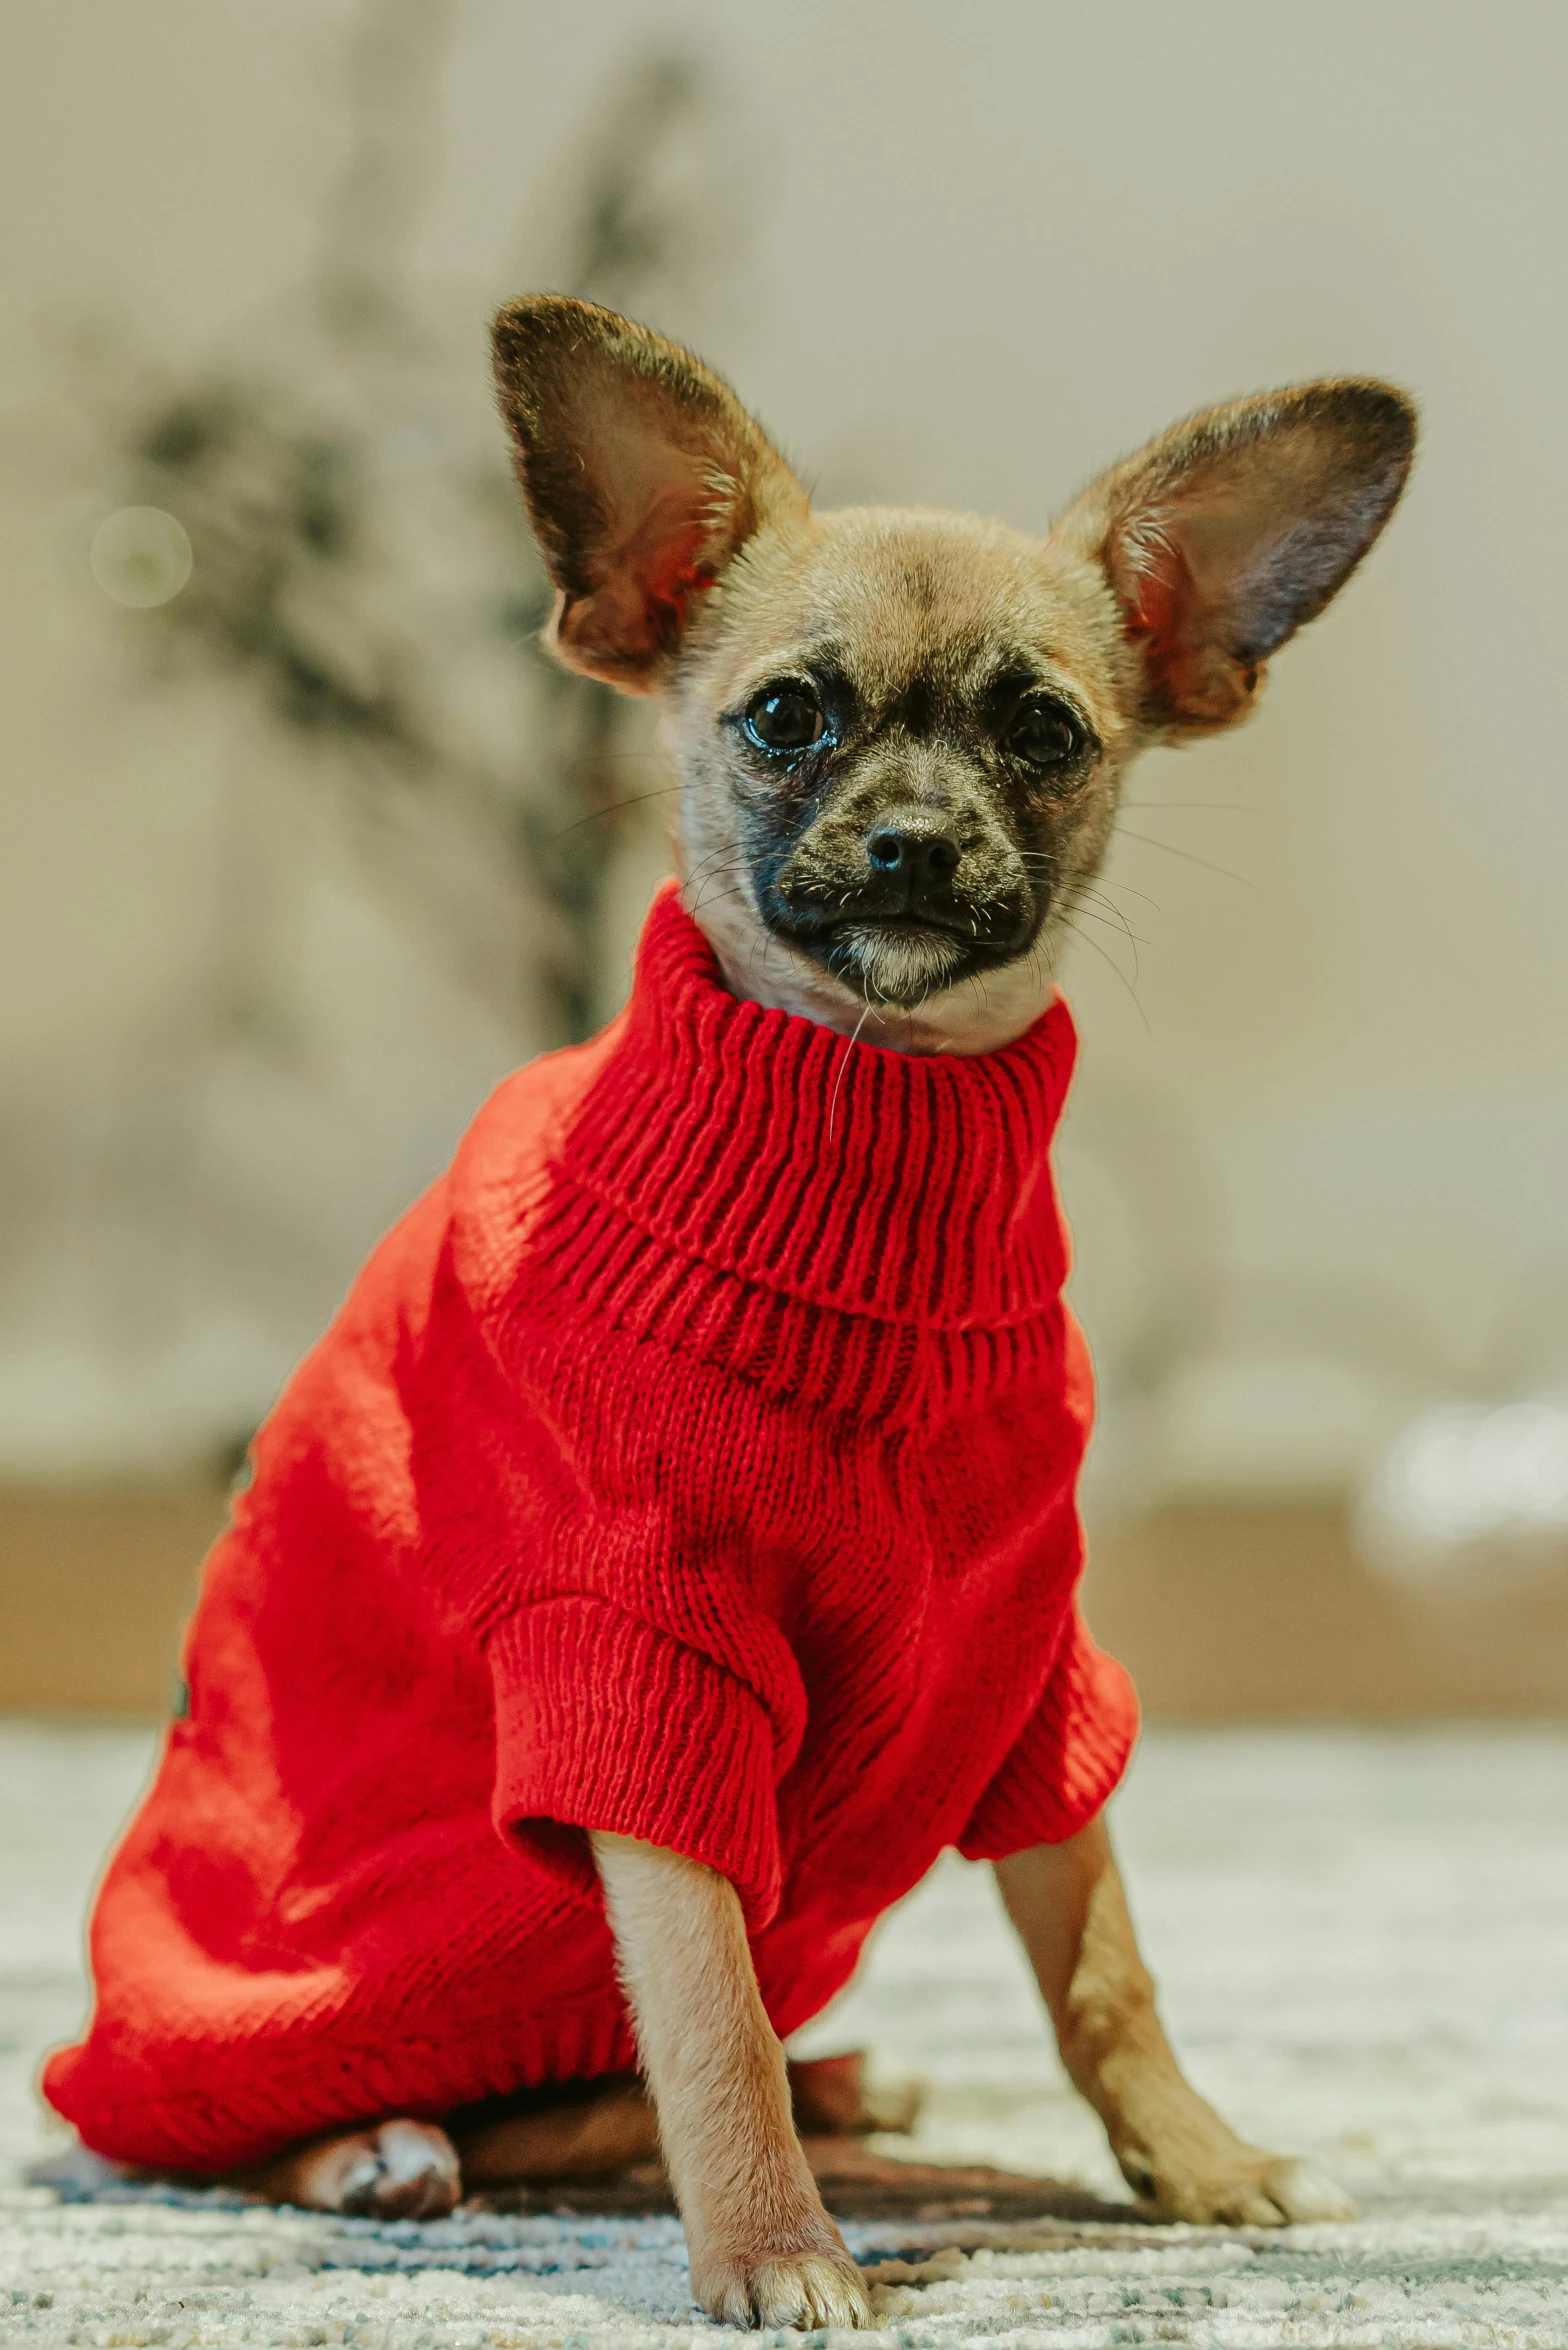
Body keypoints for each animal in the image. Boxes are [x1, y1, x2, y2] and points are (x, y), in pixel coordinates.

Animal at [49, 298, 1419, 2331]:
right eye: (785, 718)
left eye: (1044, 732)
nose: (913, 842)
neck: (872, 1136)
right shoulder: (642, 1663)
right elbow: (710, 2016)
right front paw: (776, 2244)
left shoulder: (1028, 1660)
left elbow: (1097, 1952)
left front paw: (1201, 2159)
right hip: (250, 2061)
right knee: (224, 2136)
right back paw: (383, 2150)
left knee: (599, 2097)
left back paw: (848, 2087)